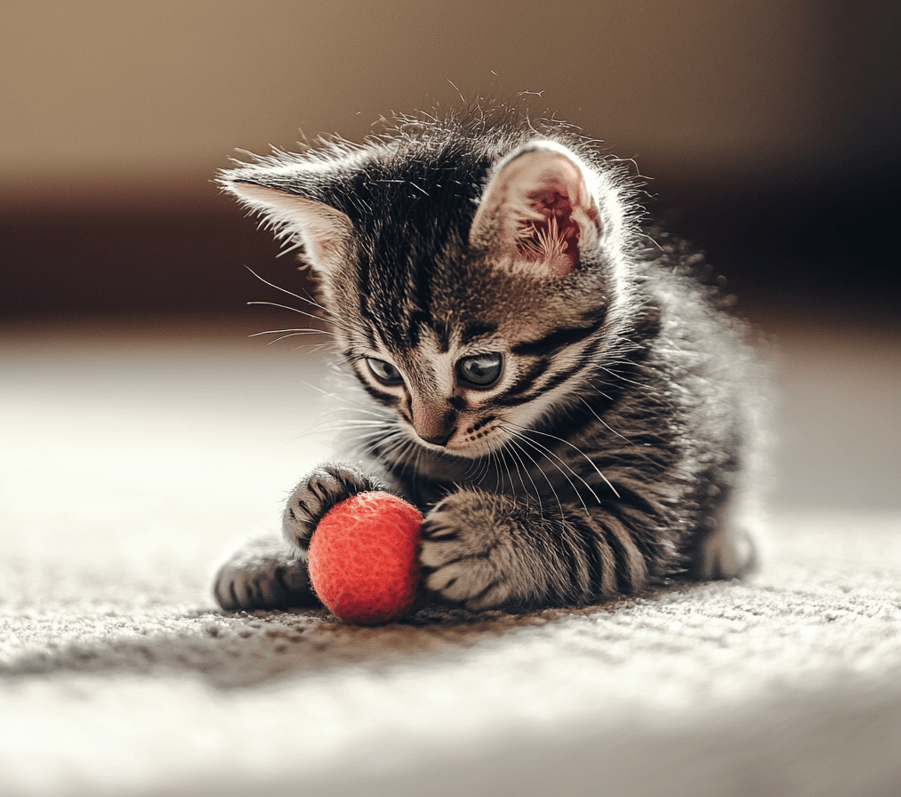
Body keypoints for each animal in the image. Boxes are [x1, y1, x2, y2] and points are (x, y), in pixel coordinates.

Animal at [213, 104, 768, 616]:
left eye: (481, 370)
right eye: (384, 371)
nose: (432, 435)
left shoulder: (643, 500)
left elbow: (591, 540)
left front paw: (491, 538)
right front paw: (314, 502)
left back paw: (725, 543)